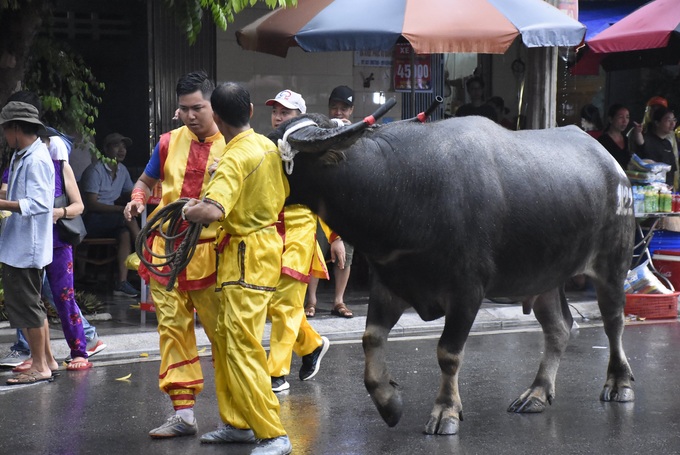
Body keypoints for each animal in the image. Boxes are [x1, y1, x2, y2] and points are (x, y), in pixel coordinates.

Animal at [272, 106, 636, 434]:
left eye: (281, 155)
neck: (400, 186)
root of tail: (614, 168)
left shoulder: (467, 292)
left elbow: (448, 353)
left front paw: (445, 412)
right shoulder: (390, 283)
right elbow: (370, 339)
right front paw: (390, 405)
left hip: (612, 266)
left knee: (614, 323)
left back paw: (619, 385)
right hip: (544, 277)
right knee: (559, 328)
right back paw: (536, 394)